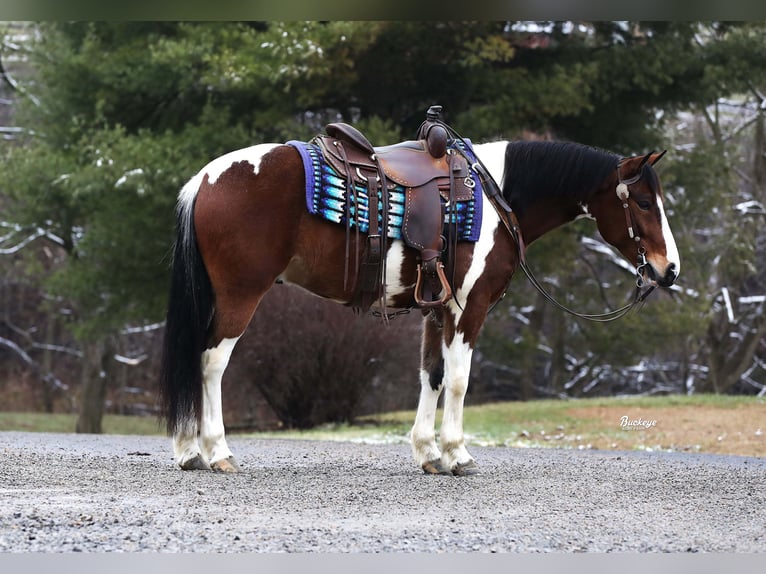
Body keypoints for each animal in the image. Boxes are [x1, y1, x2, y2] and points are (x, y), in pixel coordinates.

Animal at [159, 129, 680, 476]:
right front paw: (458, 454)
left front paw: (429, 453)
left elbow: (432, 374)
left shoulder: (437, 309)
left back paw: (188, 451)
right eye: (643, 203)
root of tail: (204, 179)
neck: (497, 196)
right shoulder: (470, 306)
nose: (669, 269)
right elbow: (459, 380)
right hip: (240, 295)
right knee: (210, 363)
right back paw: (216, 451)